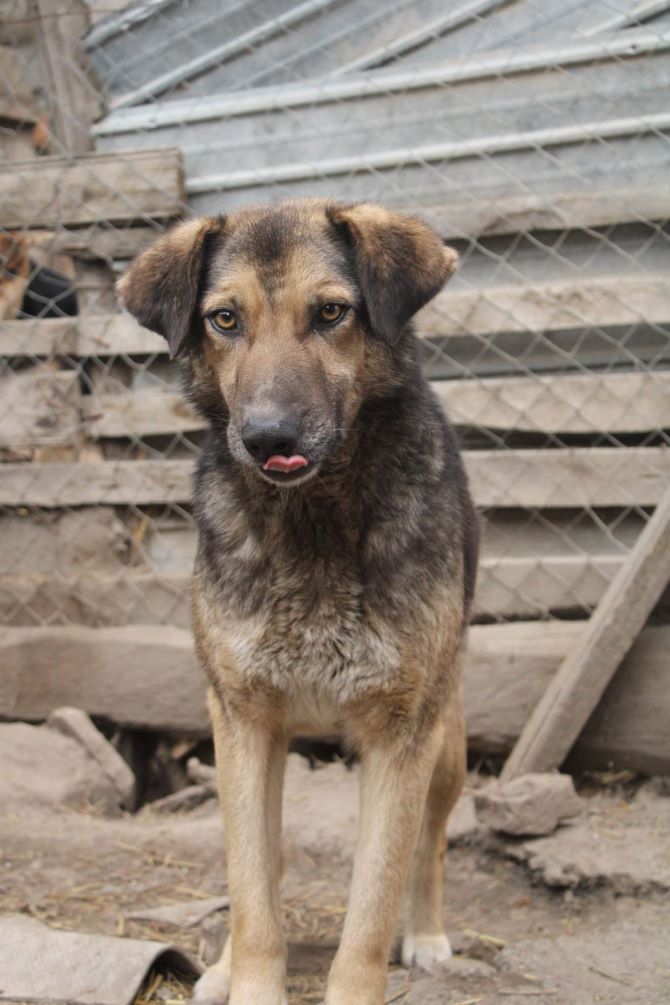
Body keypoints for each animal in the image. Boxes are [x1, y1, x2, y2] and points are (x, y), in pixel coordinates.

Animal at [119, 197, 476, 1005]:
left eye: (331, 312)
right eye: (224, 319)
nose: (266, 436)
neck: (312, 521)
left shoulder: (402, 737)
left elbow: (372, 905)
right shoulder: (243, 722)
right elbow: (253, 888)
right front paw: (247, 977)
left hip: (445, 742)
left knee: (430, 844)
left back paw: (430, 932)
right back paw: (221, 966)